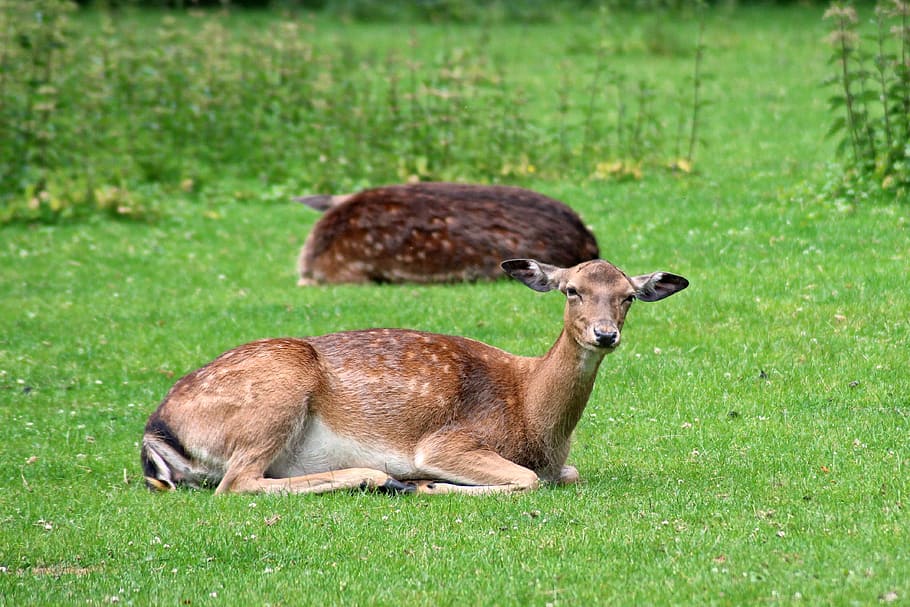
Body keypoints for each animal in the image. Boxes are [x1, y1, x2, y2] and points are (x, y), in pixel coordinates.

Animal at [141, 258, 688, 495]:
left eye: (629, 296)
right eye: (571, 290)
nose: (605, 334)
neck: (532, 419)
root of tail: (157, 430)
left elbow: (567, 474)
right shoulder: (448, 440)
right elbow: (528, 479)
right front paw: (428, 484)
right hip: (276, 395)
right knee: (236, 483)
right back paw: (385, 479)